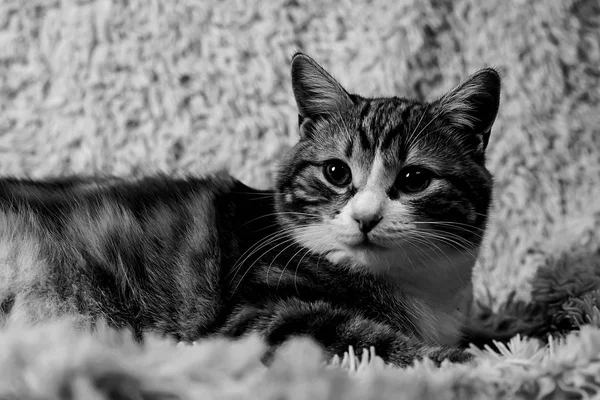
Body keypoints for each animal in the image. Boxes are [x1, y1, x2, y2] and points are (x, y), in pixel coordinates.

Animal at [0, 54, 500, 368]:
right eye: (336, 172)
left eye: (414, 179)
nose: (366, 217)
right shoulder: (256, 318)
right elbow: (367, 341)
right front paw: (463, 364)